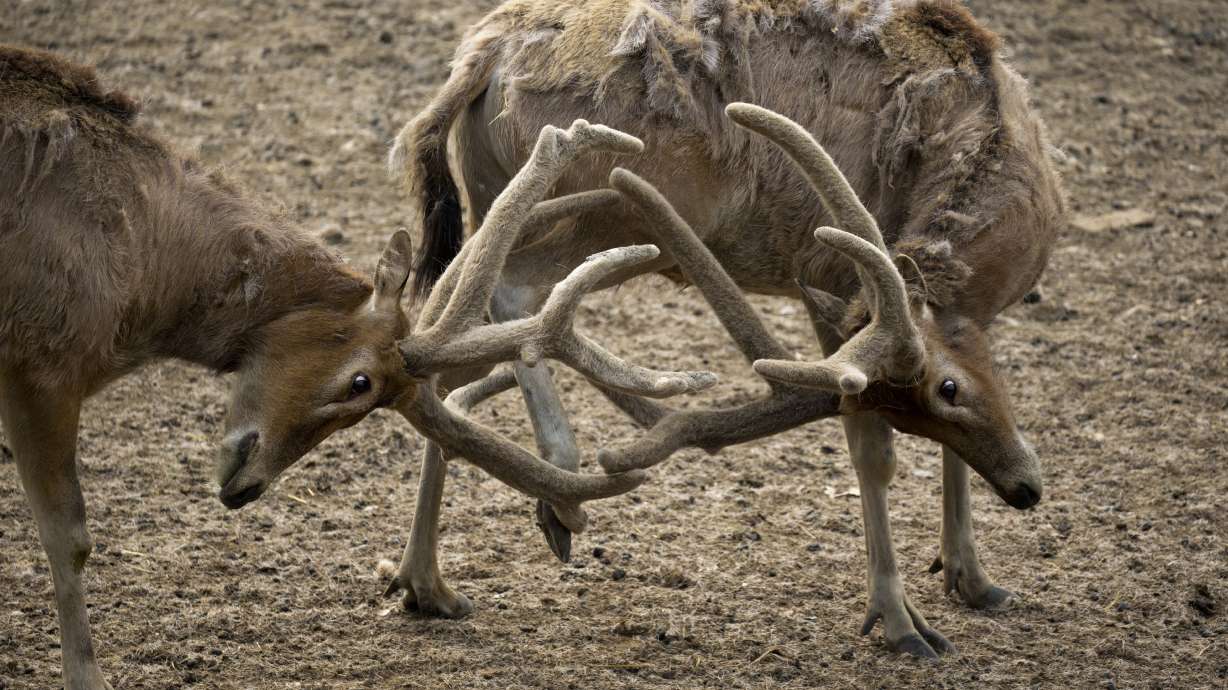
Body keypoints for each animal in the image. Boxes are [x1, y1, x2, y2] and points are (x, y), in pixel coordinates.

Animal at [2, 46, 704, 689]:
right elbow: (70, 537)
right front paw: (86, 677)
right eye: (360, 381)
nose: (244, 487)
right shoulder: (42, 362)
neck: (143, 270)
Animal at [386, 0, 1067, 658]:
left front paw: (971, 577)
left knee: (444, 338)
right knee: (509, 291)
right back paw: (560, 480)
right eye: (947, 390)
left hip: (497, 197)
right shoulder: (843, 282)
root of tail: (483, 53)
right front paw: (902, 623)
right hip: (618, 206)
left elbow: (943, 450)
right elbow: (872, 452)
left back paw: (426, 583)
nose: (1025, 488)